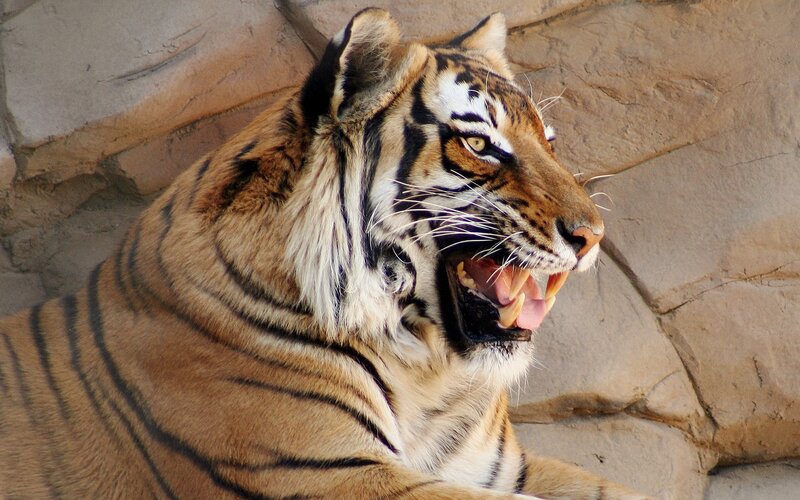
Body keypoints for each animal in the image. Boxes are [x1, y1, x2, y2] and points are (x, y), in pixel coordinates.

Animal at [0, 9, 648, 499]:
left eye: (548, 142)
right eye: (478, 144)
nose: (593, 235)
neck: (428, 377)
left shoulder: (504, 468)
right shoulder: (329, 473)